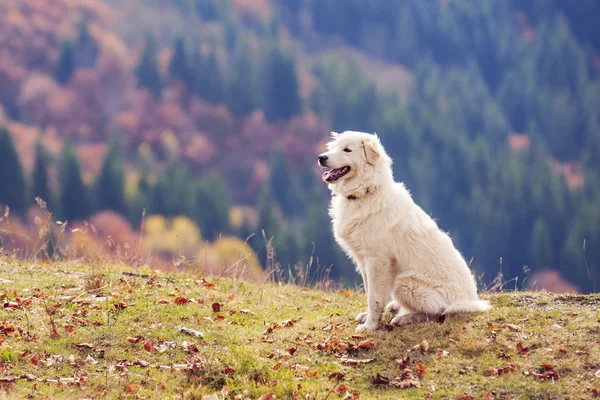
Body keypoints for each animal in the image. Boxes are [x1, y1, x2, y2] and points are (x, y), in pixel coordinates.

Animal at [316, 131, 490, 332]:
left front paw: (370, 326)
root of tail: (469, 302)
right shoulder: (363, 260)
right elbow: (369, 291)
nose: (321, 157)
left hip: (404, 282)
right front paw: (367, 317)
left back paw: (404, 318)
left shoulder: (377, 260)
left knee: (438, 313)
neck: (367, 192)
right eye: (333, 147)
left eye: (347, 150)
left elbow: (374, 297)